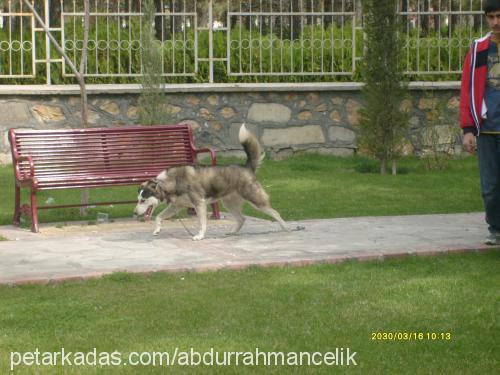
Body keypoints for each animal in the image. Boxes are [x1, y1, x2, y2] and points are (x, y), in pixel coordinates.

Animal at [133, 123, 290, 241]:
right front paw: (157, 230)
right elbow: (158, 217)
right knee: (242, 218)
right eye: (138, 199)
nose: (134, 213)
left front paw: (200, 236)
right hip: (229, 203)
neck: (170, 182)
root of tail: (246, 167)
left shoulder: (199, 204)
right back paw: (232, 232)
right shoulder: (176, 206)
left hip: (255, 200)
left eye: (142, 200)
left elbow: (202, 223)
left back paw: (286, 228)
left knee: (275, 212)